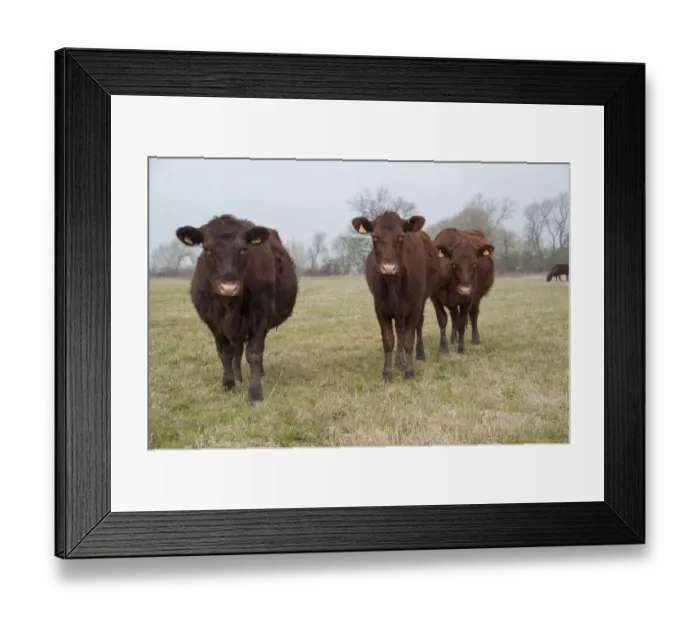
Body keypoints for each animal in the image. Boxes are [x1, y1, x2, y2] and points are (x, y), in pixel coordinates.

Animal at [175, 215, 298, 405]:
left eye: (243, 249)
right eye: (207, 249)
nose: (228, 287)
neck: (229, 304)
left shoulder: (260, 316)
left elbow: (254, 353)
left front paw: (255, 393)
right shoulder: (213, 323)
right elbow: (225, 353)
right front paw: (228, 385)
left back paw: (259, 373)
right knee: (237, 351)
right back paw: (238, 377)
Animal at [351, 211, 439, 383]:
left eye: (400, 236)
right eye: (375, 237)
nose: (389, 267)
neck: (393, 283)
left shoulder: (415, 307)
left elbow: (409, 339)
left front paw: (410, 372)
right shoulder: (380, 309)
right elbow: (389, 341)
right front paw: (387, 373)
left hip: (422, 300)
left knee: (417, 326)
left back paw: (419, 355)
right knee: (399, 331)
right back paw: (399, 361)